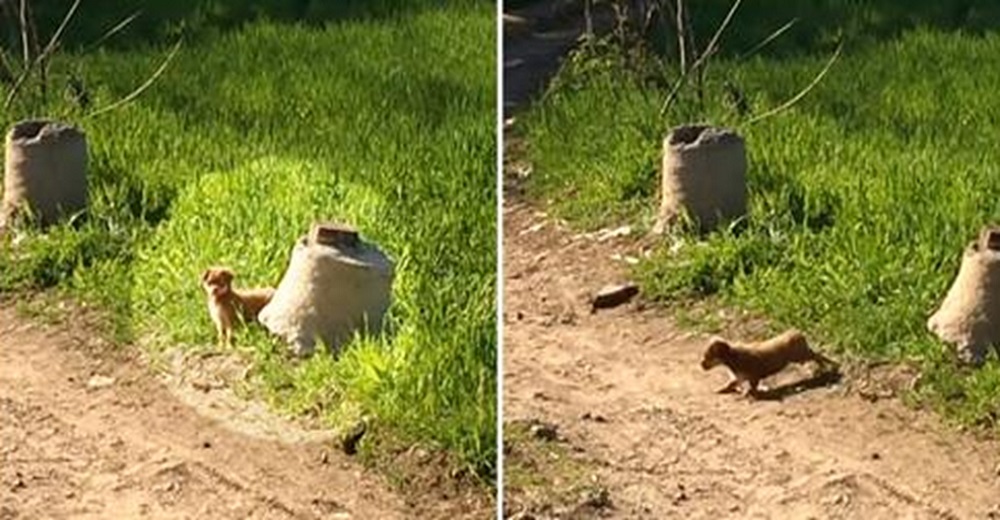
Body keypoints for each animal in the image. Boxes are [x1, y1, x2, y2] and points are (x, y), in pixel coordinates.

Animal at [704, 330, 836, 398]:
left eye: (707, 356)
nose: (701, 365)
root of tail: (797, 332)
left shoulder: (753, 374)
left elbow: (752, 386)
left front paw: (747, 393)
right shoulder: (739, 377)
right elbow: (730, 383)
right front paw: (719, 389)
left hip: (799, 355)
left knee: (816, 355)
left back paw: (830, 365)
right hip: (801, 354)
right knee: (815, 354)